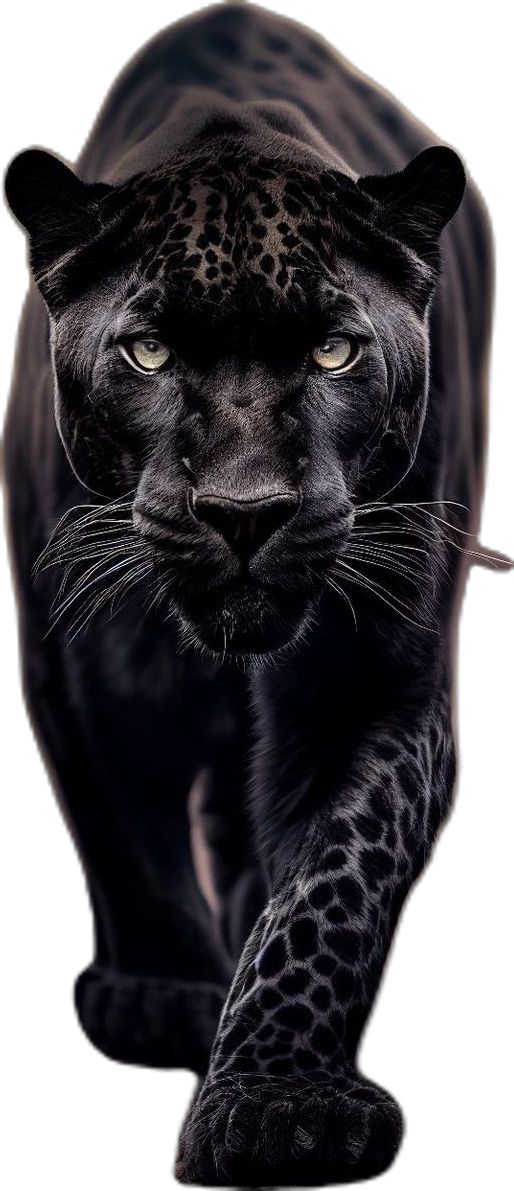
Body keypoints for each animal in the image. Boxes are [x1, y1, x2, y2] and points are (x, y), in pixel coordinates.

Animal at [2, 0, 504, 1186]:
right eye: (147, 352)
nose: (245, 510)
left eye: (332, 351)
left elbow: (334, 878)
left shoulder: (371, 674)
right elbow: (123, 826)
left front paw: (277, 1102)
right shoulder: (73, 661)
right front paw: (164, 997)